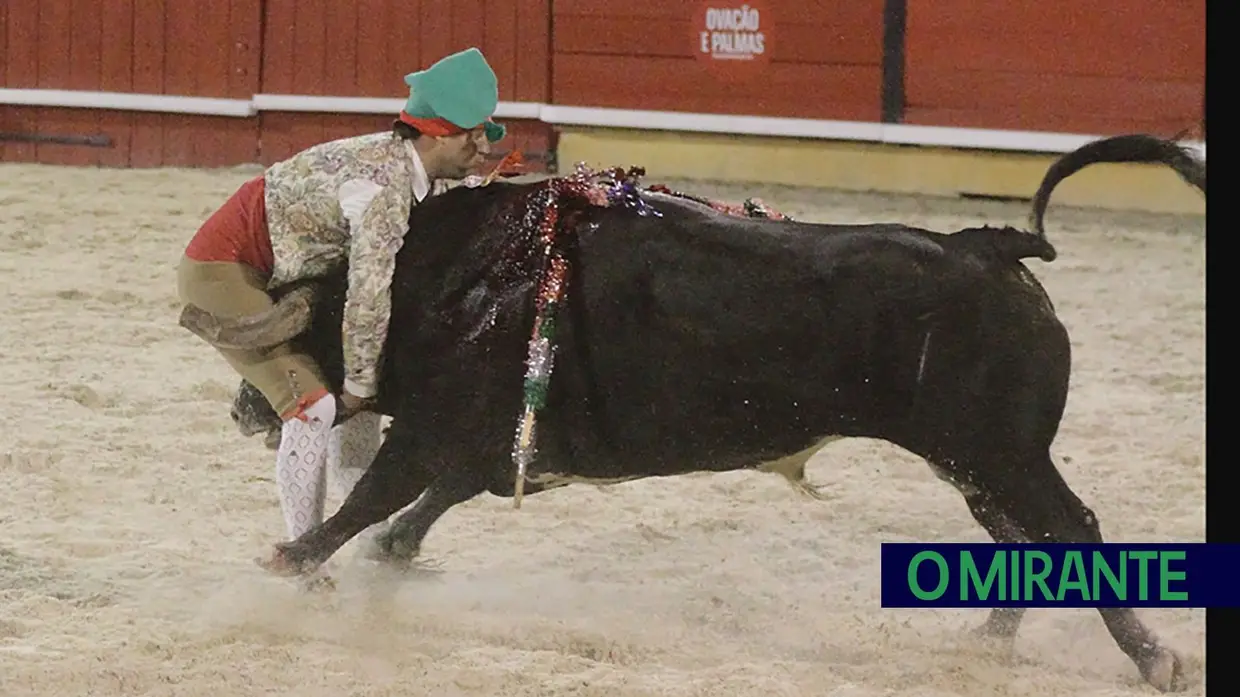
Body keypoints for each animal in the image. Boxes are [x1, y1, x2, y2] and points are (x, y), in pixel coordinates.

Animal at [183, 132, 1200, 684]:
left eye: (302, 329)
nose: (243, 411)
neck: (449, 276)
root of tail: (985, 244)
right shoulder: (493, 438)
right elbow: (423, 505)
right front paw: (380, 560)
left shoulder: (435, 426)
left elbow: (374, 495)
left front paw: (286, 561)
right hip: (977, 460)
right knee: (1020, 536)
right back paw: (990, 638)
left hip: (1001, 451)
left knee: (1068, 528)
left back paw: (1152, 658)